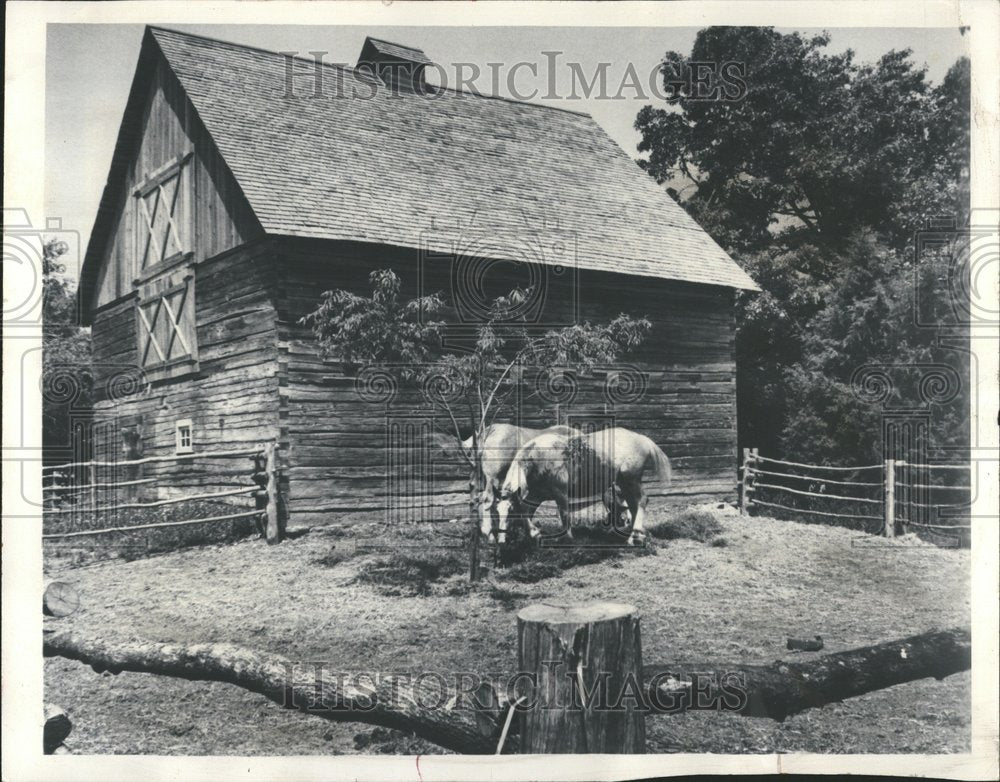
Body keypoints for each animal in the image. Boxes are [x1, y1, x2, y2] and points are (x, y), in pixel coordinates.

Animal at [492, 428, 672, 544]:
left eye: (511, 512)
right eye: (496, 513)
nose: (501, 540)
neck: (538, 457)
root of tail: (641, 438)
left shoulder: (560, 493)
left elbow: (564, 514)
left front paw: (566, 538)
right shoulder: (538, 494)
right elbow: (526, 510)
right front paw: (533, 534)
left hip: (631, 480)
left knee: (641, 500)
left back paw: (635, 535)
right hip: (623, 483)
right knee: (633, 505)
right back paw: (633, 534)